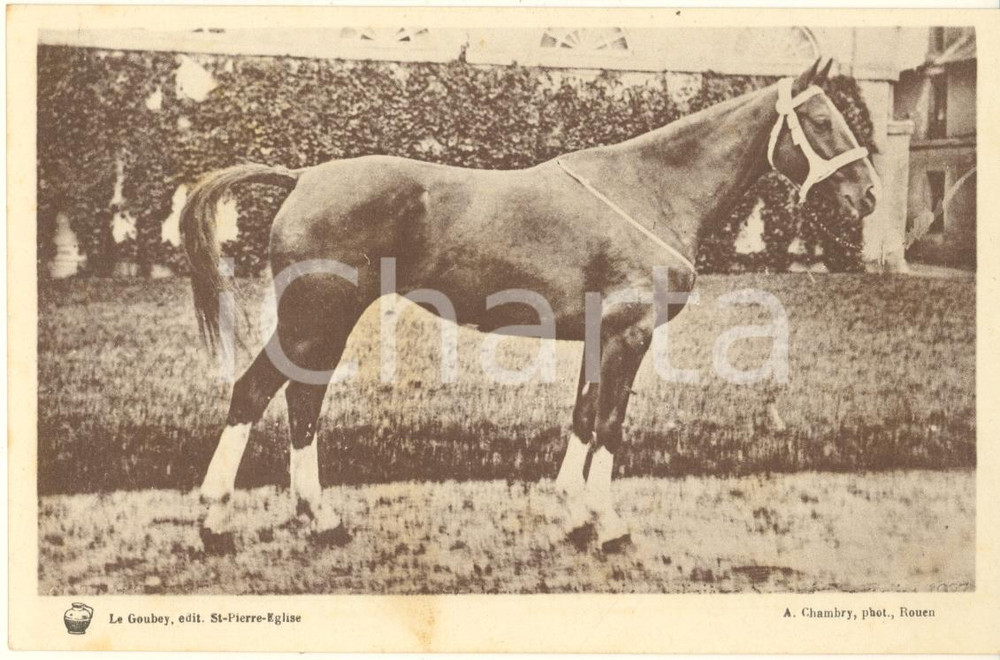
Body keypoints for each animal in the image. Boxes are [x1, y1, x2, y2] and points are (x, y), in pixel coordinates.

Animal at [180, 57, 879, 554]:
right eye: (821, 121)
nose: (869, 194)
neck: (651, 186)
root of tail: (301, 177)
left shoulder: (598, 336)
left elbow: (583, 417)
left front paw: (574, 515)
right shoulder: (630, 336)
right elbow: (610, 425)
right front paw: (608, 524)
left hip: (323, 325)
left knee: (302, 402)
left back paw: (318, 518)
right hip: (313, 319)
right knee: (255, 394)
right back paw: (217, 523)